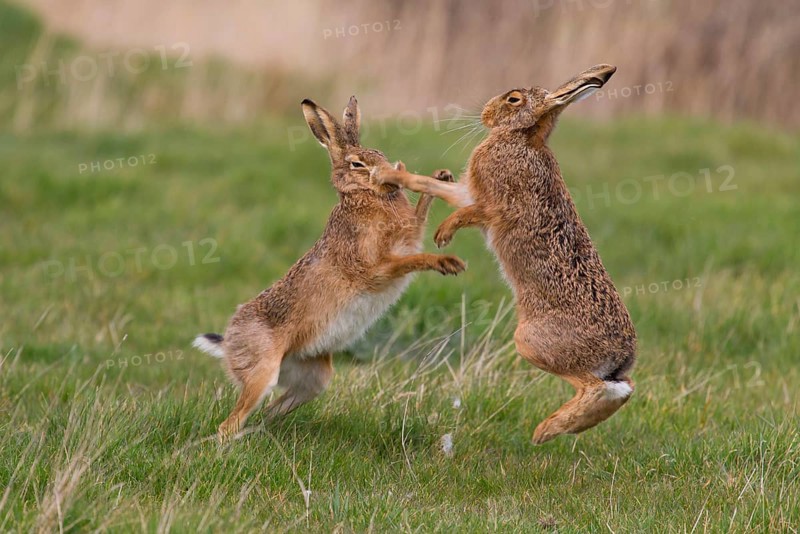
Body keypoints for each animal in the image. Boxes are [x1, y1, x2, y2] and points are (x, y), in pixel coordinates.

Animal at [193, 96, 466, 441]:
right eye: (356, 164)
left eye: (383, 156)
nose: (390, 174)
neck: (364, 197)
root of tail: (229, 341)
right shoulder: (377, 267)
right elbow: (410, 261)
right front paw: (448, 263)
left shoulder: (410, 234)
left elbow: (420, 213)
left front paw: (441, 176)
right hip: (262, 373)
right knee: (230, 424)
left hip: (314, 378)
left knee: (270, 410)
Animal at [372, 65, 636, 444]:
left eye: (513, 99)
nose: (485, 114)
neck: (522, 137)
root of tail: (621, 355)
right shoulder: (468, 191)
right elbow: (432, 185)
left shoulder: (492, 206)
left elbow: (462, 208)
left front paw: (441, 233)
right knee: (623, 388)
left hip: (531, 343)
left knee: (597, 388)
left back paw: (546, 430)